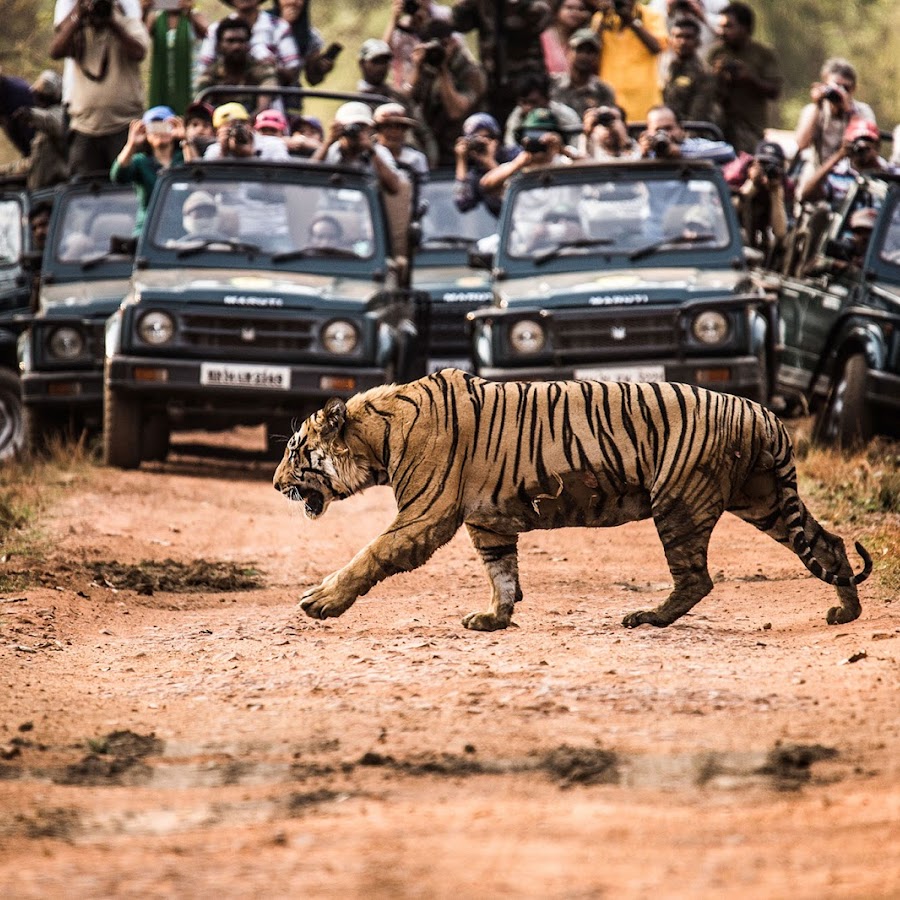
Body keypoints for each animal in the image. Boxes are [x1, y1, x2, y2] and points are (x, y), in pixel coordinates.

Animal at [270, 370, 868, 628]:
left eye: (296, 450)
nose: (275, 485)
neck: (377, 435)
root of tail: (766, 414)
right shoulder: (487, 521)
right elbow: (501, 572)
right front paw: (494, 618)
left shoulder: (423, 515)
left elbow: (367, 555)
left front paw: (320, 601)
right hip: (763, 499)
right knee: (830, 544)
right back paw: (845, 612)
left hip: (681, 502)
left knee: (697, 578)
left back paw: (647, 618)